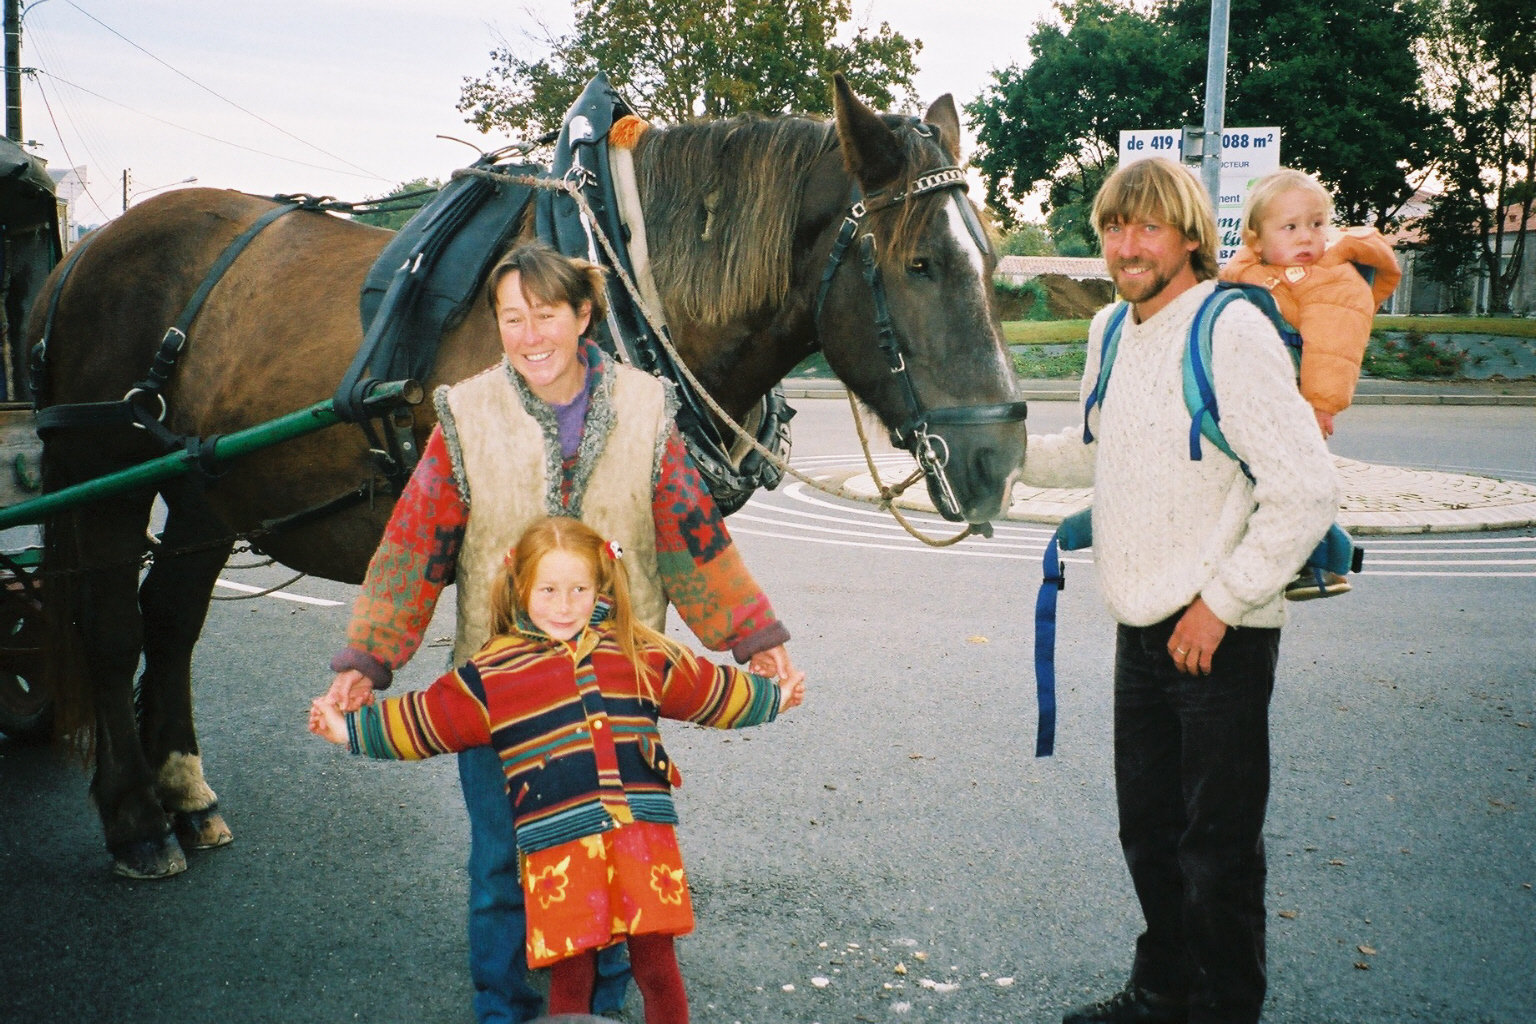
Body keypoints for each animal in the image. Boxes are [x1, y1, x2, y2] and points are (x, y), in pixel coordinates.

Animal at [29, 75, 1026, 878]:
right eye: (918, 263)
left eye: (992, 260)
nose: (1000, 460)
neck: (617, 283)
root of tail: (82, 252)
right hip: (104, 468)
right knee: (112, 625)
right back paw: (134, 821)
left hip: (206, 487)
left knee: (172, 620)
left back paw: (185, 796)